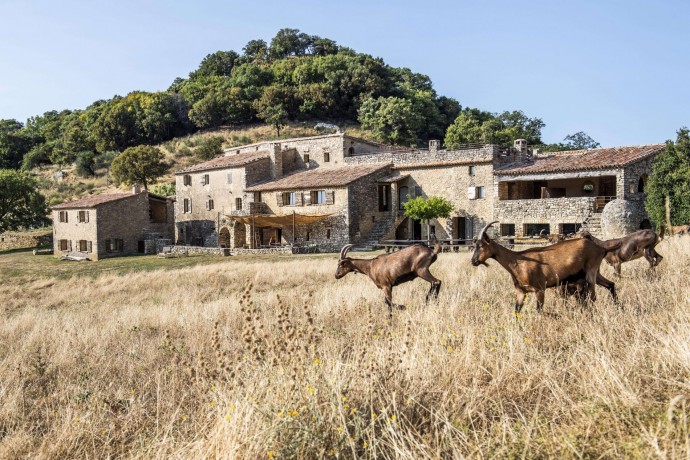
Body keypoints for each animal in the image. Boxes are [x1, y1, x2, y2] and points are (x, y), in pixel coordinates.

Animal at [470, 219, 616, 312]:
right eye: (474, 245)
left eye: (481, 245)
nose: (473, 261)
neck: (517, 261)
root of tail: (601, 249)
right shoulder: (521, 292)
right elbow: (516, 310)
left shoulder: (540, 289)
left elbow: (539, 310)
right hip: (595, 273)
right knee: (610, 285)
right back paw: (617, 307)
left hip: (591, 271)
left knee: (593, 297)